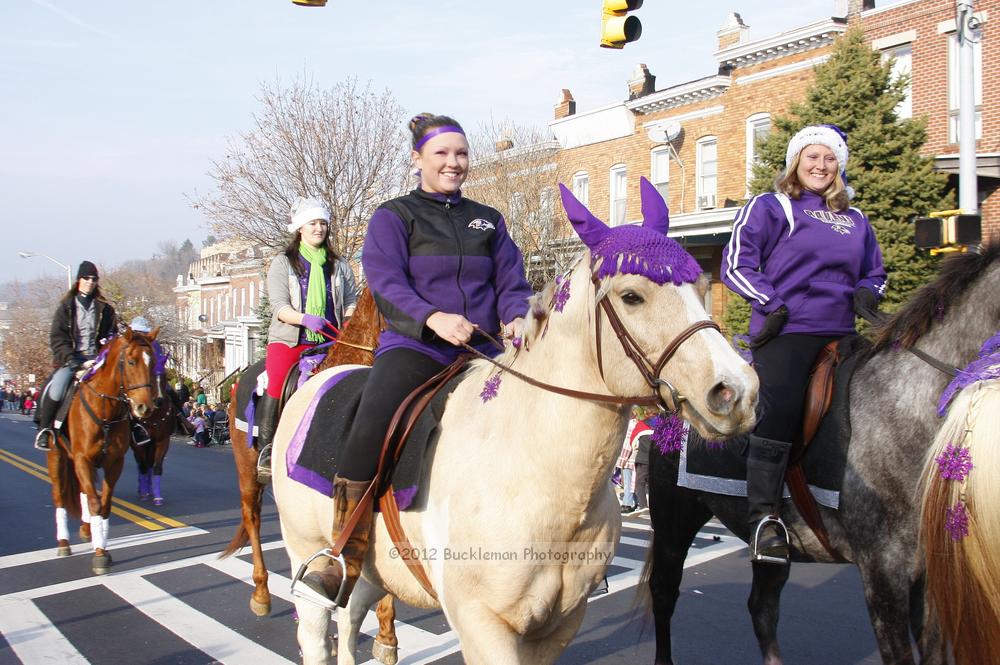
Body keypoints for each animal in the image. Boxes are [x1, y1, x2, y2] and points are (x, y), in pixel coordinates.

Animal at [47, 330, 159, 572]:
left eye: (153, 362)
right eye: (131, 361)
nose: (144, 407)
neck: (106, 410)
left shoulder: (113, 462)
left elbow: (104, 504)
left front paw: (101, 547)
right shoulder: (82, 458)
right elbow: (95, 503)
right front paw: (100, 554)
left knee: (83, 492)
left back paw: (86, 529)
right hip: (56, 456)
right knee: (59, 495)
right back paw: (64, 542)